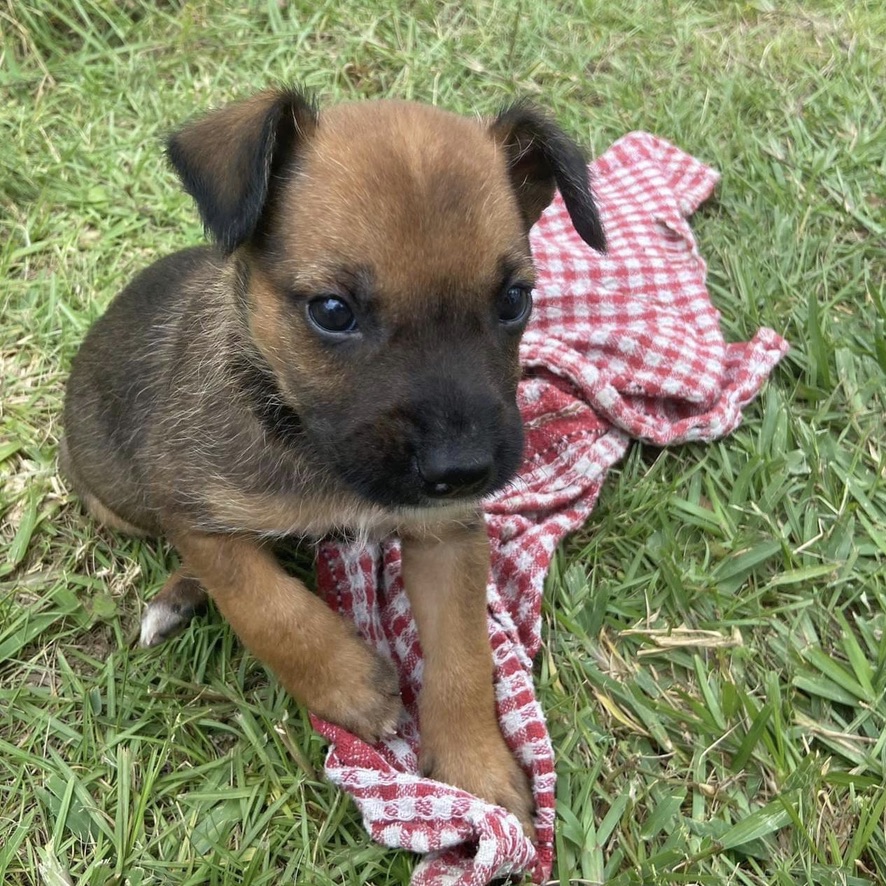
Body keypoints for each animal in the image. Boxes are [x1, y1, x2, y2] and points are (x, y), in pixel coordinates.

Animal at [60, 92, 604, 840]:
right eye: (333, 312)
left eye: (513, 301)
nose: (463, 469)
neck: (304, 434)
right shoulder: (192, 507)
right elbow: (267, 606)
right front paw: (350, 686)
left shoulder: (446, 534)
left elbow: (464, 658)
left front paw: (478, 766)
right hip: (113, 504)